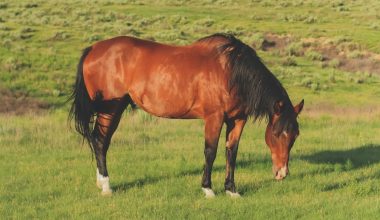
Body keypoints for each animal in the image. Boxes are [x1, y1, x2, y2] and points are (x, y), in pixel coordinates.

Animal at [70, 33, 304, 198]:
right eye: (277, 133)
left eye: (295, 136)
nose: (282, 173)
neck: (231, 72)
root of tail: (93, 48)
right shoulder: (214, 118)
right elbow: (210, 152)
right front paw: (208, 189)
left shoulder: (237, 120)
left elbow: (232, 152)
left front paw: (231, 190)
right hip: (111, 109)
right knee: (100, 141)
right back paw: (106, 186)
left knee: (100, 141)